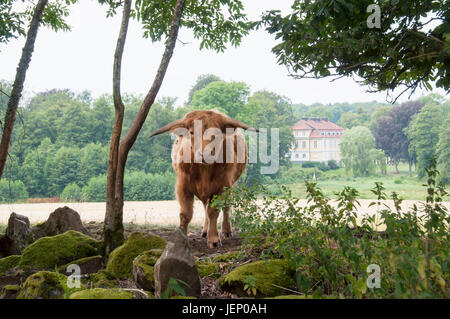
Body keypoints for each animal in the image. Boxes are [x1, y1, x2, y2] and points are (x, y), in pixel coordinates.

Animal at [150, 109, 258, 248]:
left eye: (216, 133)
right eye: (191, 132)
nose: (205, 154)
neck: (204, 171)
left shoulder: (222, 187)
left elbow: (214, 212)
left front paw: (214, 240)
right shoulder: (182, 186)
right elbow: (186, 214)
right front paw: (181, 239)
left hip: (231, 185)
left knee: (225, 207)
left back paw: (226, 231)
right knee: (205, 206)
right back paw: (205, 231)